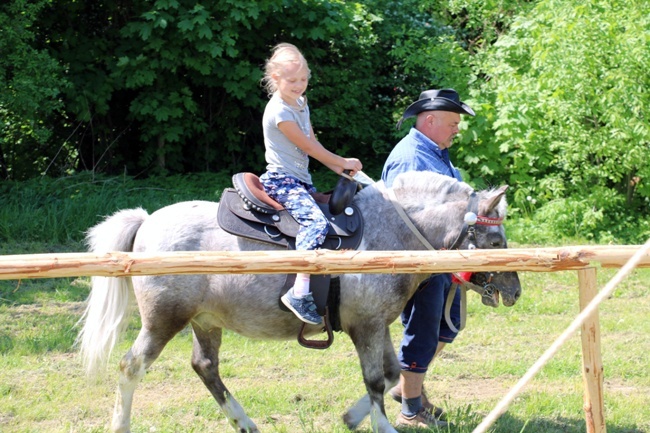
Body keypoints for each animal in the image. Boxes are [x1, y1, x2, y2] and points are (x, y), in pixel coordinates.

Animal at [77, 170, 520, 432]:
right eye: (497, 241)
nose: (514, 290)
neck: (390, 234)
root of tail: (147, 221)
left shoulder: (375, 324)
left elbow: (394, 372)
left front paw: (352, 416)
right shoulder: (366, 326)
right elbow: (377, 379)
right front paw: (382, 426)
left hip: (206, 321)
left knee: (205, 367)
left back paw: (245, 423)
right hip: (164, 320)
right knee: (131, 367)